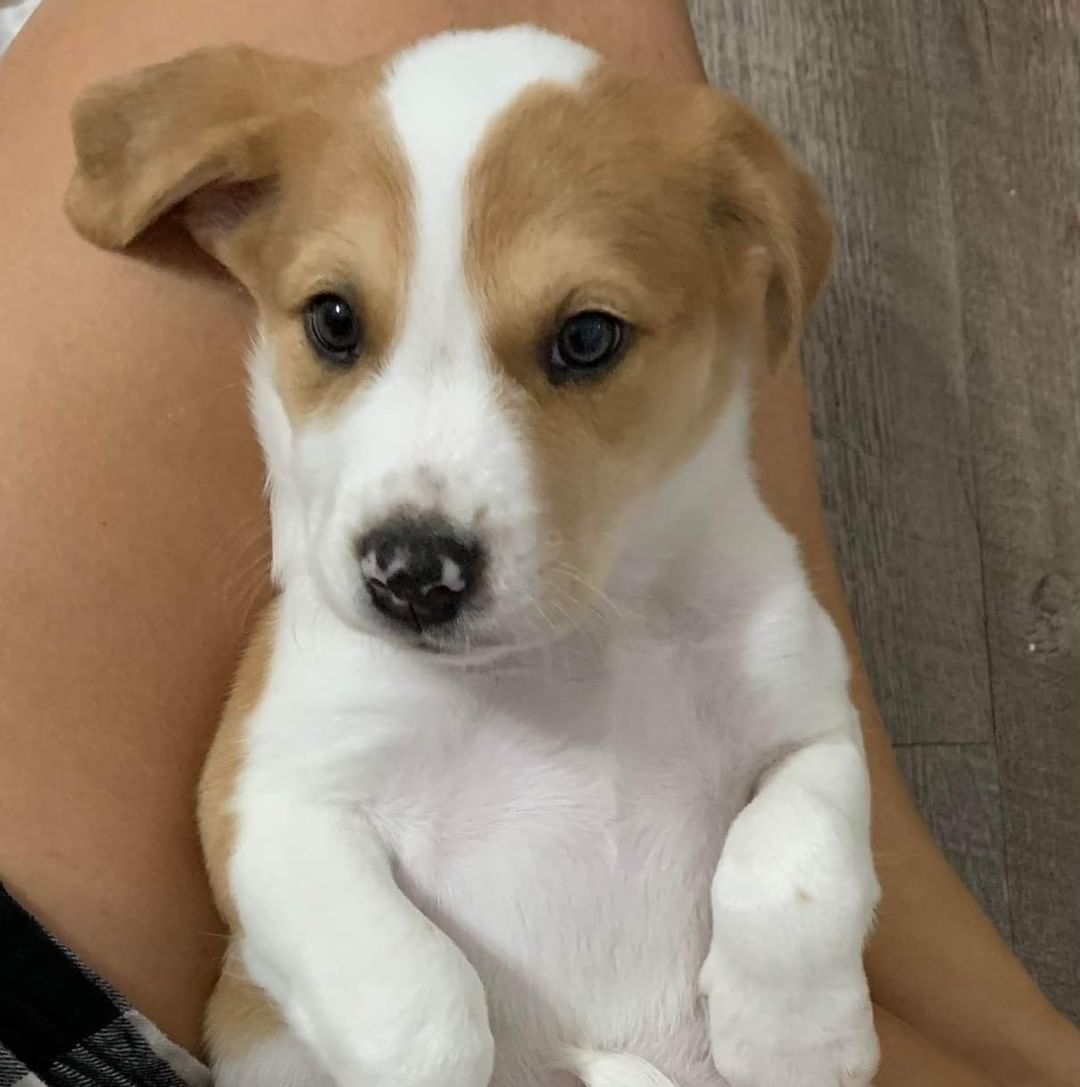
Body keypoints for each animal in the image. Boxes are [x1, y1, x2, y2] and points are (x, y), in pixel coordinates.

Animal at [65, 23, 877, 1087]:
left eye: (587, 336)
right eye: (333, 319)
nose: (410, 572)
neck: (557, 661)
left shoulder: (813, 721)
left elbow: (796, 862)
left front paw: (798, 1036)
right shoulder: (270, 797)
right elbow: (417, 998)